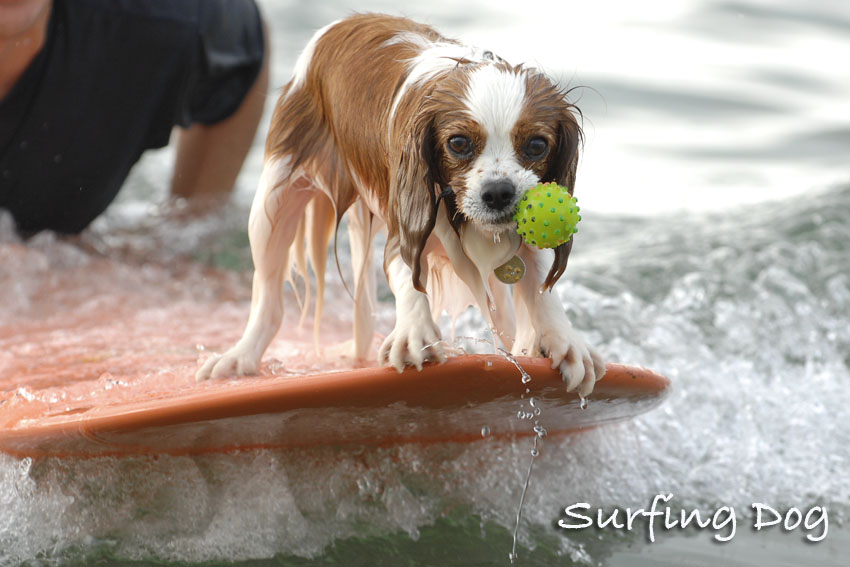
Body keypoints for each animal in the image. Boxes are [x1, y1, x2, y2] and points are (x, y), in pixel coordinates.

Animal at [195, 12, 608, 394]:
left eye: (537, 145)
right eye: (459, 143)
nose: (498, 192)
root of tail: (348, 19)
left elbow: (537, 279)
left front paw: (563, 338)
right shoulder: (406, 224)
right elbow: (408, 275)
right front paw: (415, 331)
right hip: (272, 202)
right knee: (268, 296)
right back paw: (240, 358)